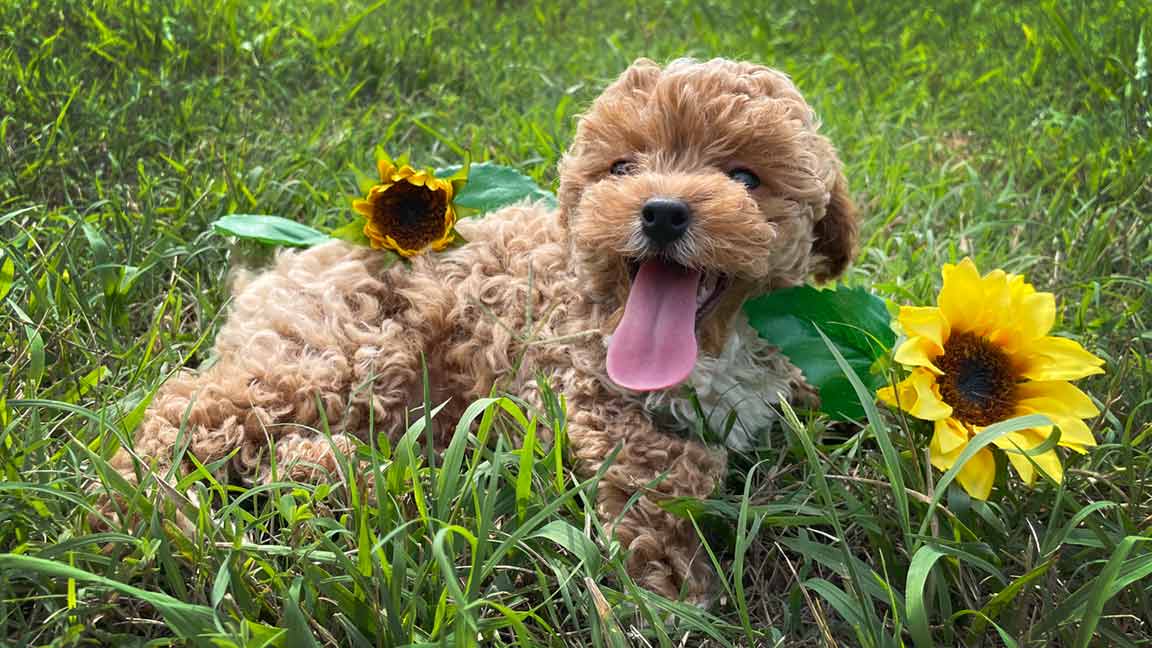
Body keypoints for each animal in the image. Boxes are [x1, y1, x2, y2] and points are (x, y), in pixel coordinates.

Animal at [108, 57, 861, 604]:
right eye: (622, 167)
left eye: (746, 177)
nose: (662, 211)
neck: (710, 346)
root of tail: (277, 272)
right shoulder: (576, 383)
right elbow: (657, 464)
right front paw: (675, 584)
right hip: (345, 349)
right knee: (191, 408)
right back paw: (141, 501)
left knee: (273, 446)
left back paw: (354, 480)